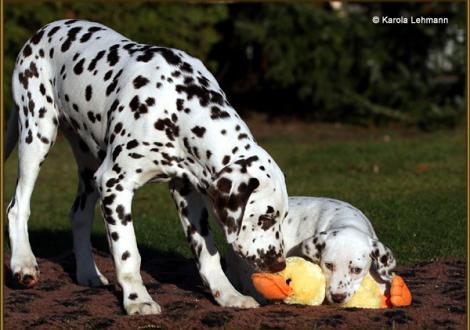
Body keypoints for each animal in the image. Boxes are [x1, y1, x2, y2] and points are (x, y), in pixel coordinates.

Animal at [5, 20, 288, 314]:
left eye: (283, 217)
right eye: (266, 218)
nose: (279, 263)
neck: (176, 106)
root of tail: (43, 30)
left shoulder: (187, 193)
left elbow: (207, 252)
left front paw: (228, 295)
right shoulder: (114, 185)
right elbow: (128, 253)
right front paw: (137, 299)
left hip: (89, 162)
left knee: (79, 214)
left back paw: (88, 273)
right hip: (37, 135)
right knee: (17, 206)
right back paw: (24, 264)